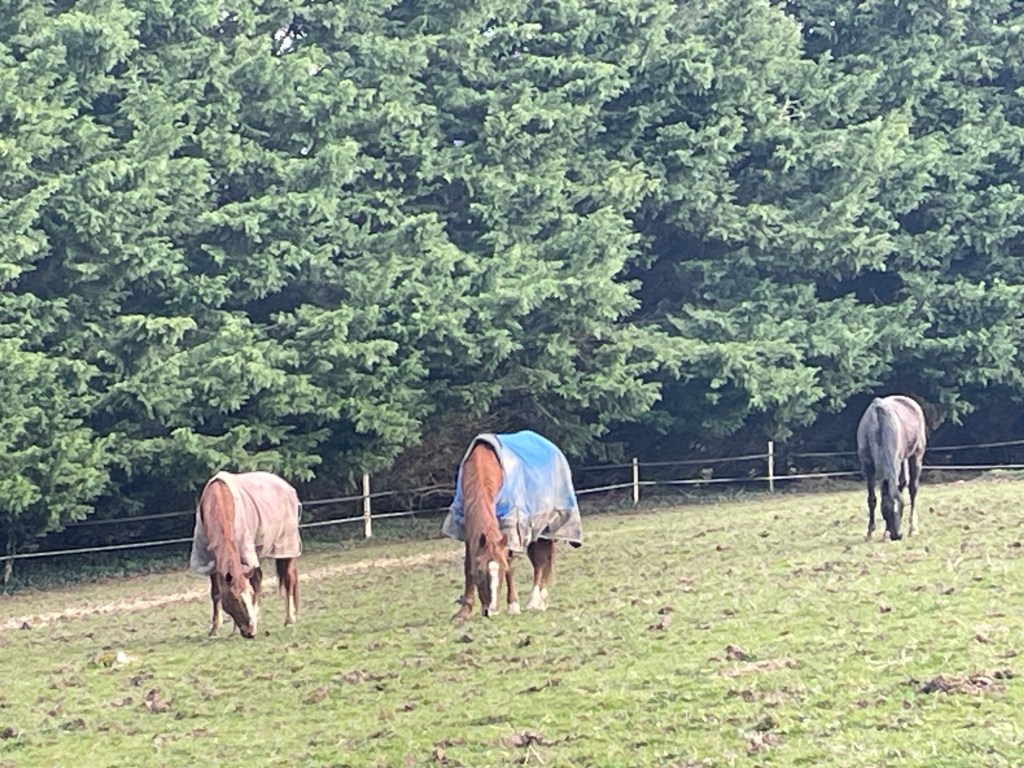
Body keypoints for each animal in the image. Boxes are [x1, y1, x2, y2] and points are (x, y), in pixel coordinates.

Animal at [188, 471, 302, 638]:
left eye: (249, 594)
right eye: (235, 599)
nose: (250, 632)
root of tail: (286, 486)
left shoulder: (245, 552)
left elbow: (256, 584)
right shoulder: (212, 561)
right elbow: (216, 593)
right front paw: (215, 629)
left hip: (286, 547)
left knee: (289, 579)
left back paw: (289, 619)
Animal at [441, 431, 583, 620]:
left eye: (502, 570)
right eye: (480, 571)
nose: (491, 611)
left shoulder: (510, 528)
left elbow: (510, 563)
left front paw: (513, 605)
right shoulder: (469, 532)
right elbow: (467, 567)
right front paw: (464, 611)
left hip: (546, 529)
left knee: (542, 564)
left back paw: (535, 602)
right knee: (540, 562)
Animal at [856, 395, 927, 541]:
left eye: (901, 507)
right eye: (886, 509)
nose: (897, 535)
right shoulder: (867, 468)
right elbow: (872, 499)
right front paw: (870, 532)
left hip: (916, 456)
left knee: (913, 489)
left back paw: (913, 528)